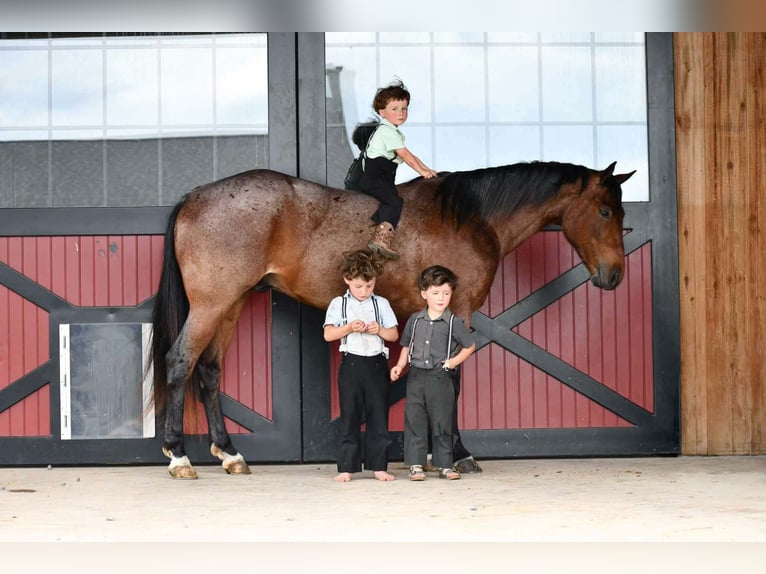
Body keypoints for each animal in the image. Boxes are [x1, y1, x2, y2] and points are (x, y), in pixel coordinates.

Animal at [150, 160, 635, 478]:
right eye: (605, 211)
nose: (614, 276)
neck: (471, 217)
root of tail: (196, 197)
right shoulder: (458, 311)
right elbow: (452, 380)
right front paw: (456, 453)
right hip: (212, 305)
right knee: (180, 363)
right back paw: (179, 456)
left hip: (230, 305)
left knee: (209, 372)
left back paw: (230, 454)